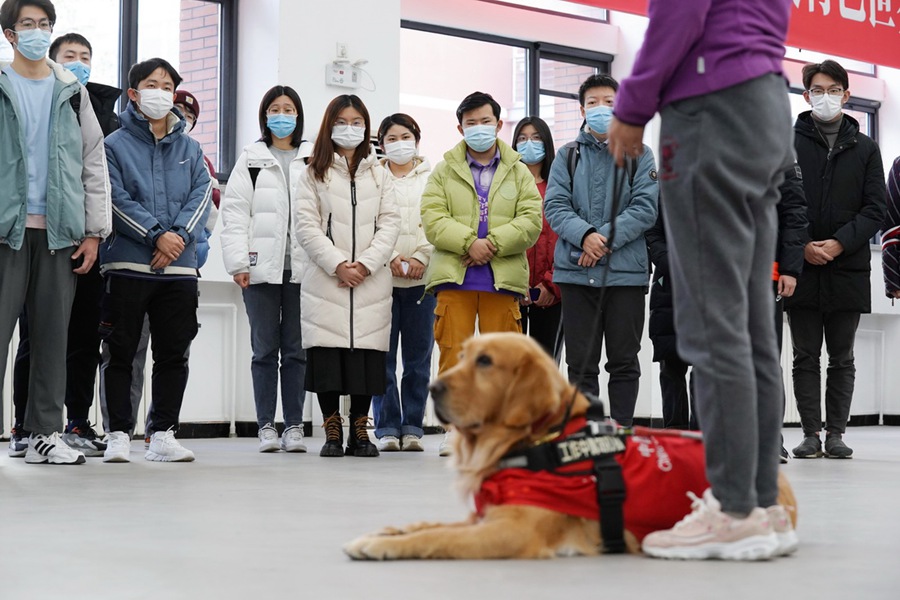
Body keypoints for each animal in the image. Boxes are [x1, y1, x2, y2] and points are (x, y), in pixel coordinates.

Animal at [342, 330, 796, 560]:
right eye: (466, 355)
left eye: (486, 362)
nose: (432, 389)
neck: (535, 440)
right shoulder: (488, 516)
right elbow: (430, 525)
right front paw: (388, 530)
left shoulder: (512, 533)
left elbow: (437, 538)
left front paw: (383, 545)